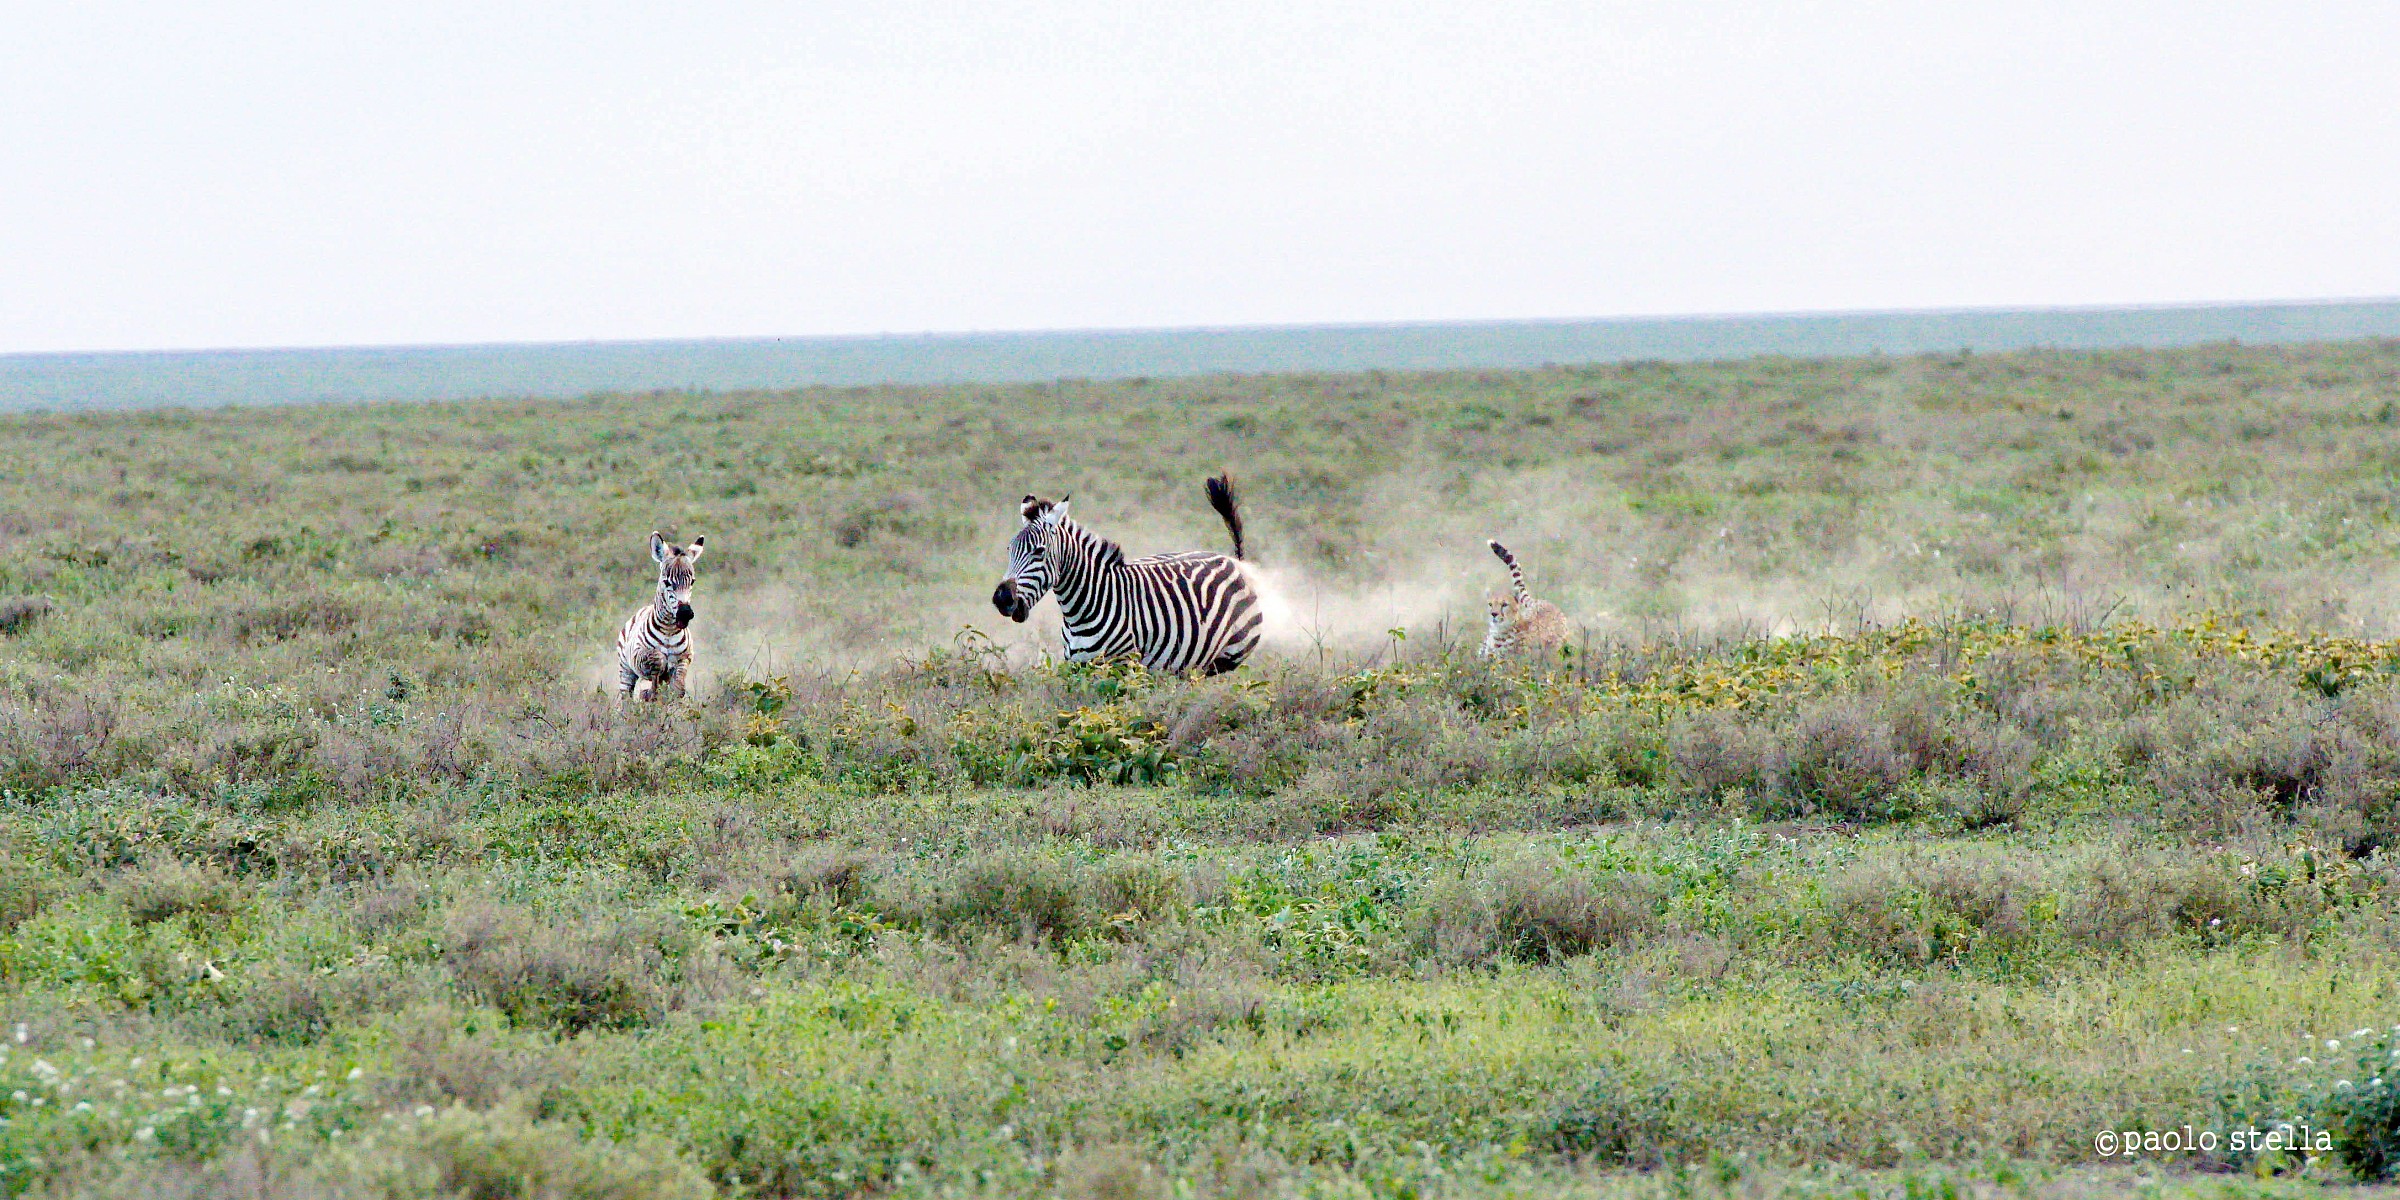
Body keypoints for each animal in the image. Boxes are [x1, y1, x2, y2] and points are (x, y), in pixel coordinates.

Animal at [615, 532, 706, 700]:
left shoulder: (685, 658)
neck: (669, 630)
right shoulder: (637, 655)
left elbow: (678, 687)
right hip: (626, 669)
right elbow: (657, 658)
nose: (685, 613)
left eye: (692, 582)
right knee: (625, 696)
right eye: (667, 582)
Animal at [990, 474, 1264, 675]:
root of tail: (1233, 559)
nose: (1002, 599)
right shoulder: (1078, 667)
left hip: (1225, 658)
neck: (1080, 610)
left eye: (1039, 551)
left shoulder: (1121, 668)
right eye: (1009, 550)